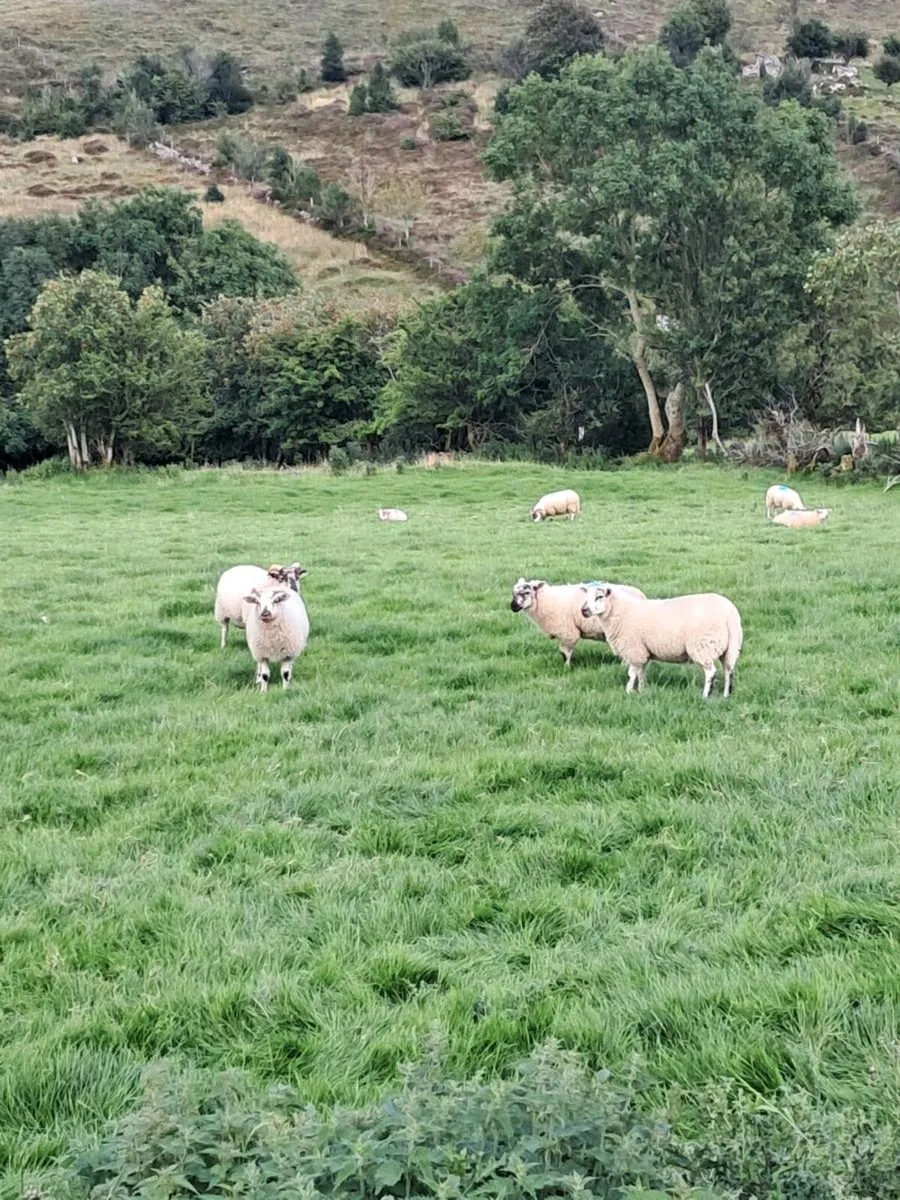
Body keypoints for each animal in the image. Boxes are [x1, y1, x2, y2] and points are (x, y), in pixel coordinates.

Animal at [510, 577, 646, 668]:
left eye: (526, 592)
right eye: (513, 592)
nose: (513, 606)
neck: (546, 601)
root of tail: (642, 596)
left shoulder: (567, 632)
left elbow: (565, 653)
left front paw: (567, 667)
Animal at [579, 585, 743, 699]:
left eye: (599, 596)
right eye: (586, 596)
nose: (584, 610)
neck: (619, 611)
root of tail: (730, 614)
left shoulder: (633, 649)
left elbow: (632, 674)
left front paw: (628, 691)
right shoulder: (642, 652)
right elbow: (641, 672)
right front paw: (641, 691)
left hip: (703, 646)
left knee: (711, 672)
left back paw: (705, 695)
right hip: (730, 647)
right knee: (729, 670)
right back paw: (726, 695)